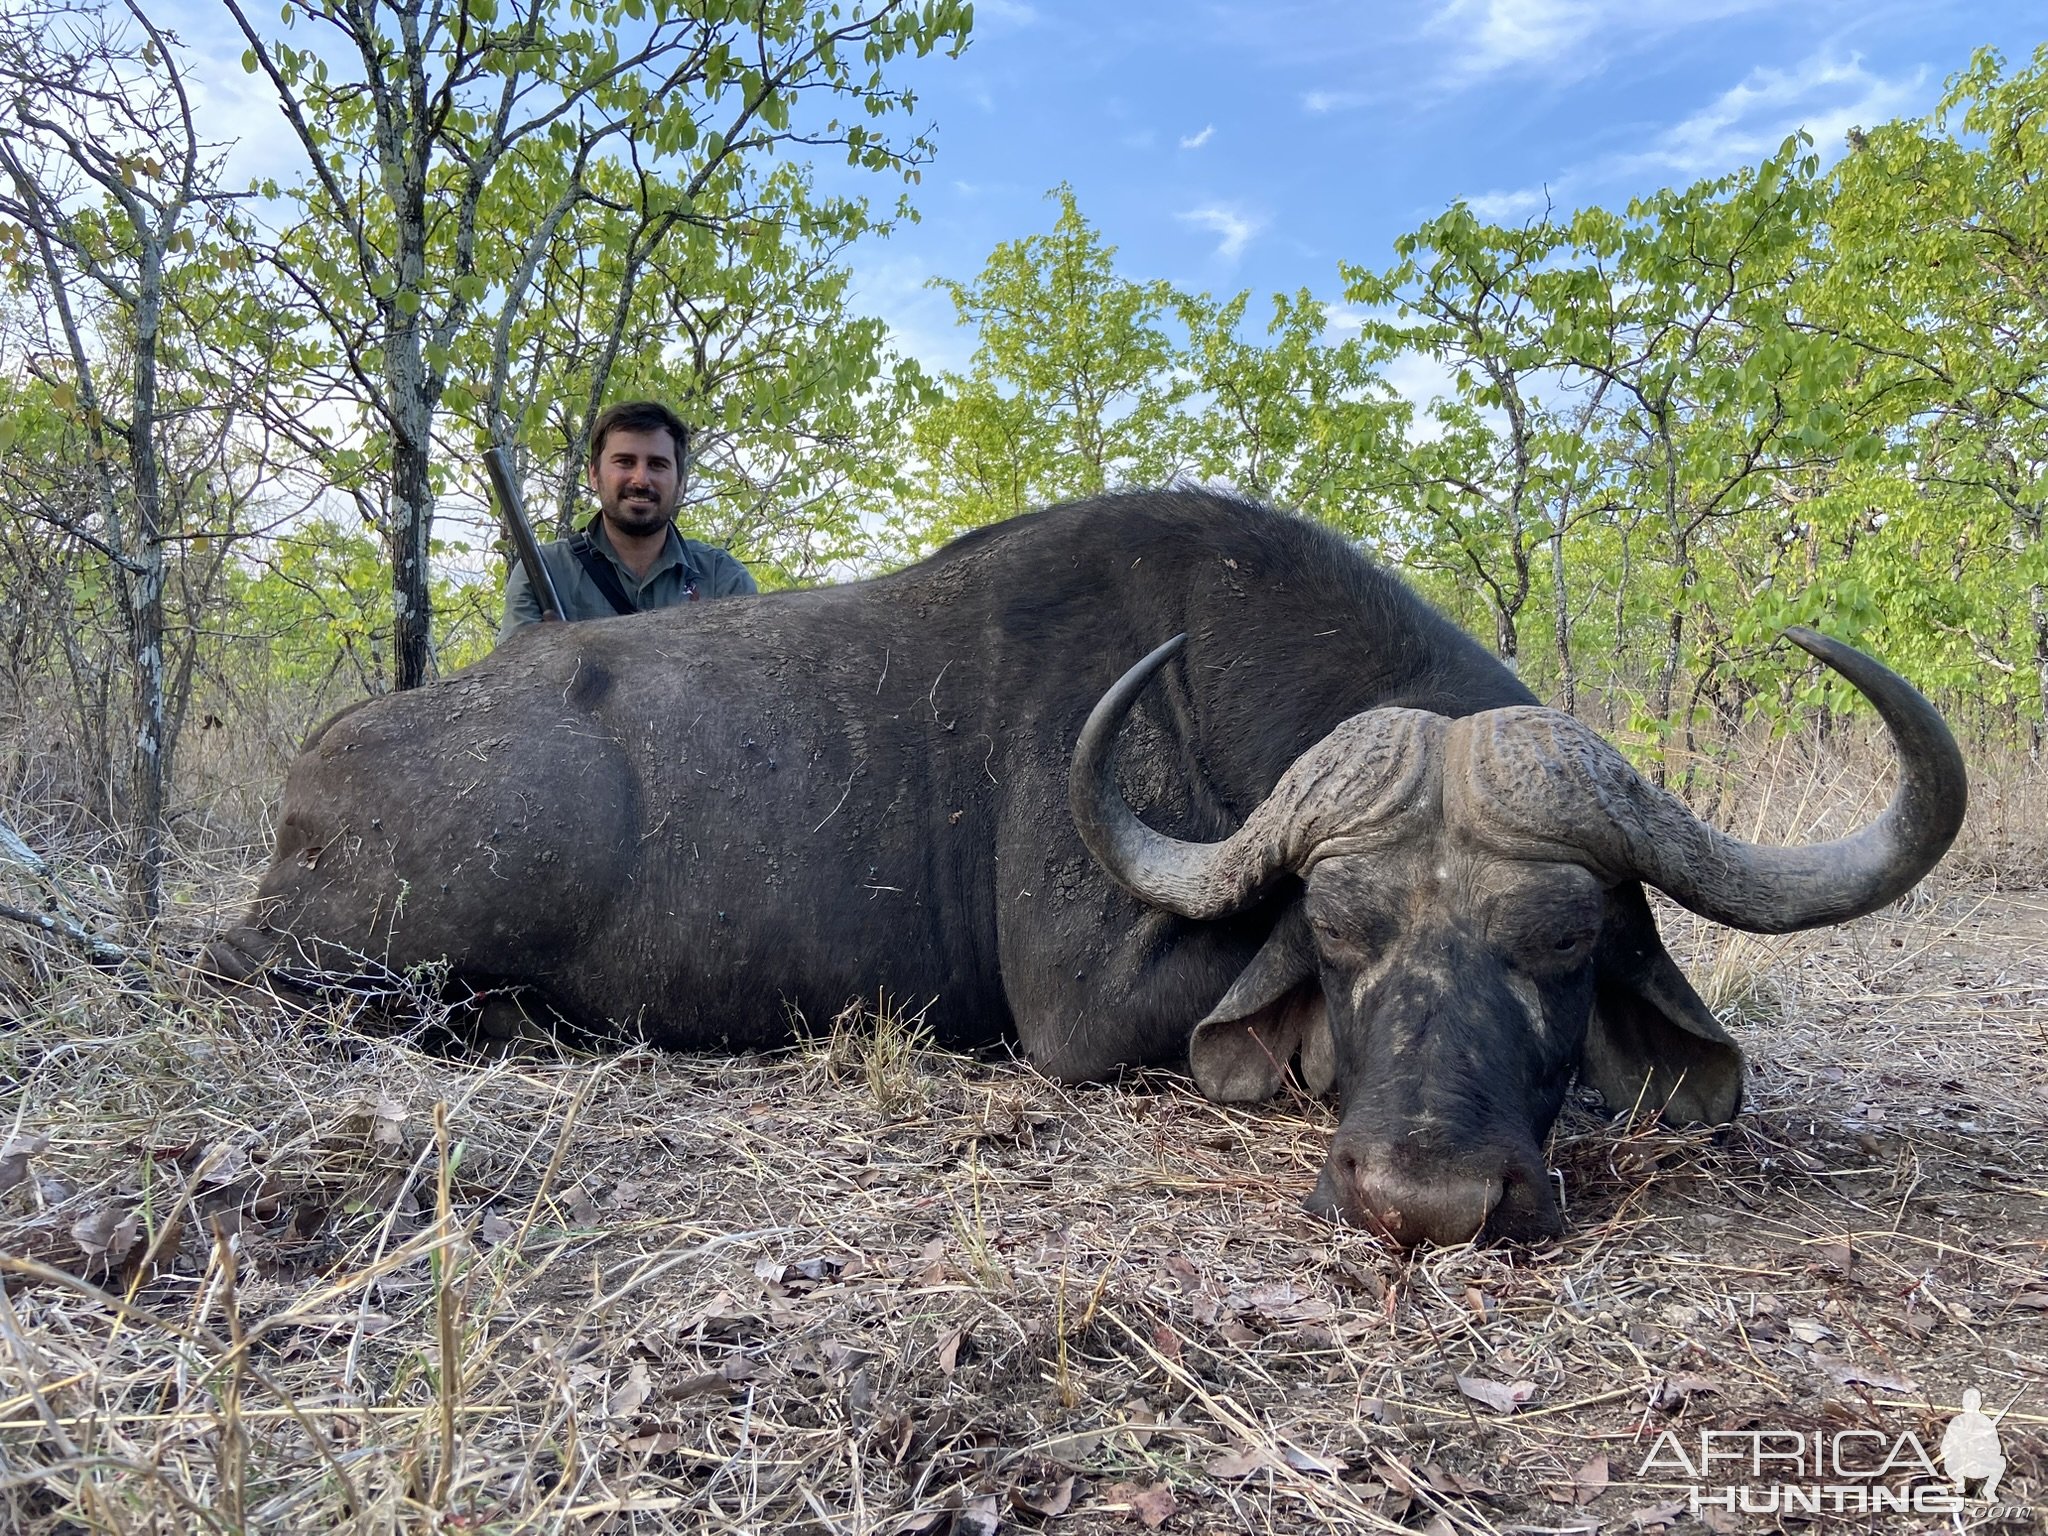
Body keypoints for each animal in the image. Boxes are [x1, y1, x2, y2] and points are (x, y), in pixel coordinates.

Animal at [207, 493, 1966, 1253]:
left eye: (1562, 937)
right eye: (1337, 930)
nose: (1428, 1198)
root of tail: (326, 762)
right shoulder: (1089, 1008)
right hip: (348, 956)